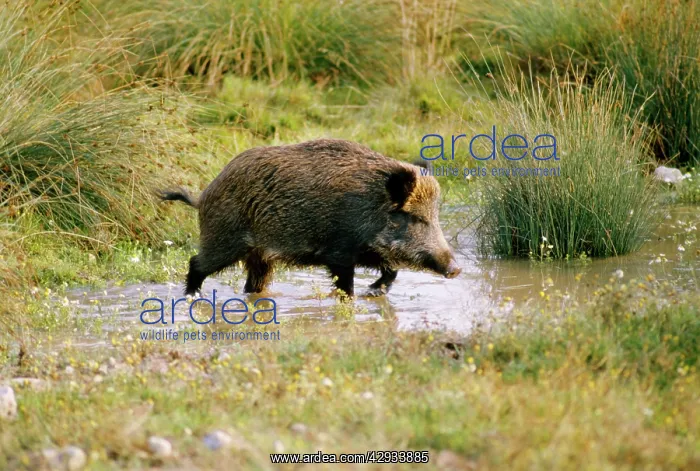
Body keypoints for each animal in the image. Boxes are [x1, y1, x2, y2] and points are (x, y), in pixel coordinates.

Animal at [160, 139, 461, 297]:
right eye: (415, 217)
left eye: (435, 215)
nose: (456, 269)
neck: (370, 206)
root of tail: (203, 195)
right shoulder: (339, 252)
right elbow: (346, 285)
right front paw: (353, 299)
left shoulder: (367, 251)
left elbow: (392, 269)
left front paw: (373, 292)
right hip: (225, 239)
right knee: (197, 262)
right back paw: (192, 296)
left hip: (259, 256)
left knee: (253, 283)